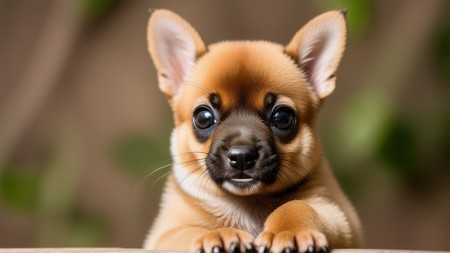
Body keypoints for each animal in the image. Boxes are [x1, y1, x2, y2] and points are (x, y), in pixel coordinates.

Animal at [143, 8, 362, 252]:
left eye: (282, 117)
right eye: (203, 118)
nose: (241, 156)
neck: (248, 202)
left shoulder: (342, 219)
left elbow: (298, 205)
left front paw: (289, 230)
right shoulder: (161, 235)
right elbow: (188, 230)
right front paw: (218, 234)